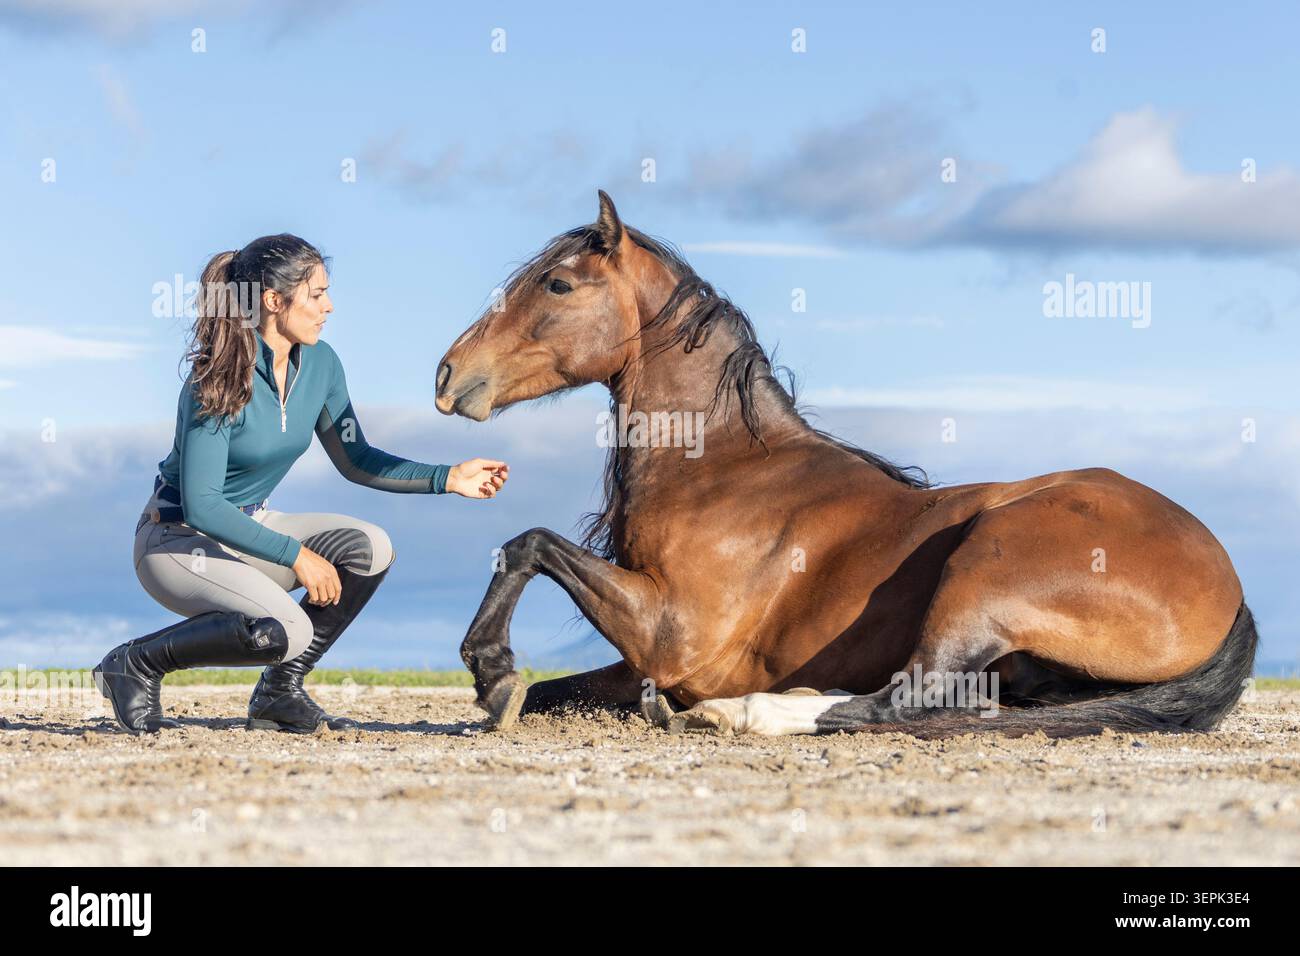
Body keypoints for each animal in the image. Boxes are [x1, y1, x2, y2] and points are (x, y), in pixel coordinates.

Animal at [434, 190, 1256, 739]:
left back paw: (741, 713)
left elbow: (529, 543)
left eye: (558, 283)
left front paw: (490, 666)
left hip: (982, 572)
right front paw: (499, 688)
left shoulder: (670, 636)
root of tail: (1229, 583)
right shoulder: (636, 660)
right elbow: (548, 685)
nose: (446, 375)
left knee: (910, 696)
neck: (726, 471)